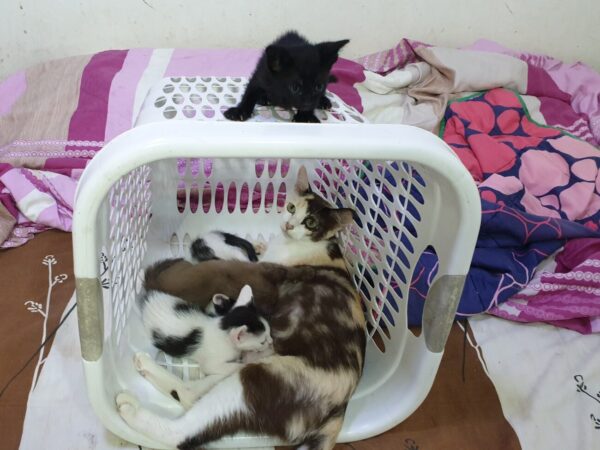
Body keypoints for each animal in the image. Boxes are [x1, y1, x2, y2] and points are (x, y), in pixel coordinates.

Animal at [137, 284, 273, 409]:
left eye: (269, 332)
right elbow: (227, 366)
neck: (222, 328)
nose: (271, 342)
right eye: (262, 341)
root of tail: (146, 299)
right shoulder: (212, 362)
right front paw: (245, 363)